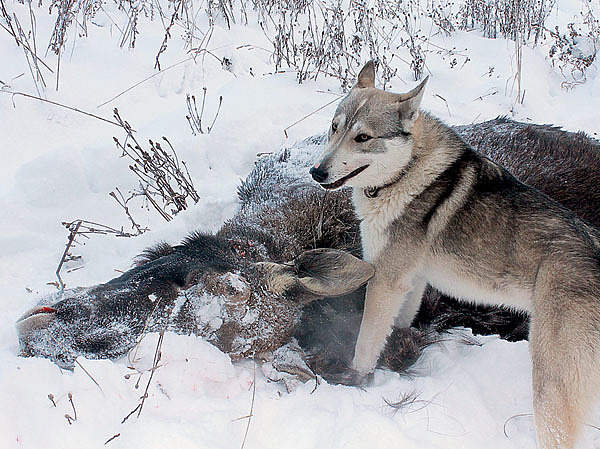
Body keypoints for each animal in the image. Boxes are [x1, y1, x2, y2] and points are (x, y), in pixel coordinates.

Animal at [312, 60, 600, 448]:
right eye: (334, 128)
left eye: (363, 138)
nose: (316, 171)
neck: (407, 172)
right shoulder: (411, 282)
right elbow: (399, 326)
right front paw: (401, 352)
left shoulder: (385, 281)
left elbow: (365, 344)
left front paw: (356, 380)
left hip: (550, 385)